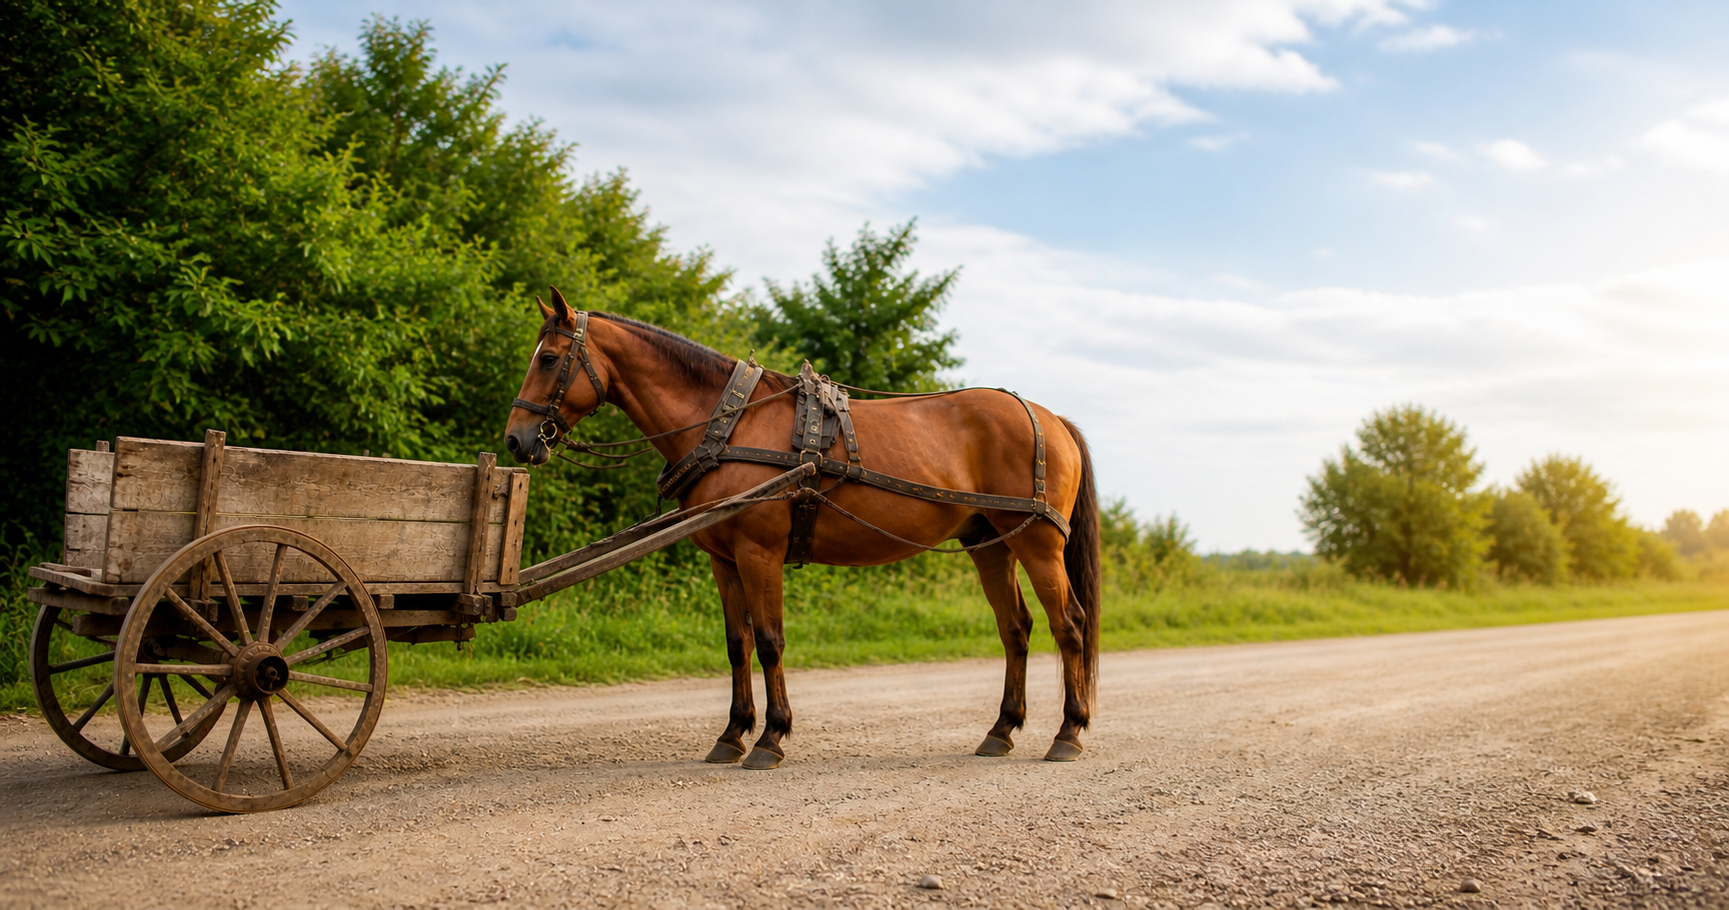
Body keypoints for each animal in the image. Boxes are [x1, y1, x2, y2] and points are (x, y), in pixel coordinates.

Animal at [502, 288, 1101, 768]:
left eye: (549, 358)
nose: (515, 438)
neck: (731, 423)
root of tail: (1050, 418)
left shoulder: (759, 552)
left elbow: (770, 642)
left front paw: (771, 738)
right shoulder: (724, 560)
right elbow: (737, 643)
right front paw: (732, 735)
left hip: (1037, 543)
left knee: (1069, 624)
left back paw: (1068, 732)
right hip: (989, 544)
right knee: (1016, 628)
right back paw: (1001, 730)